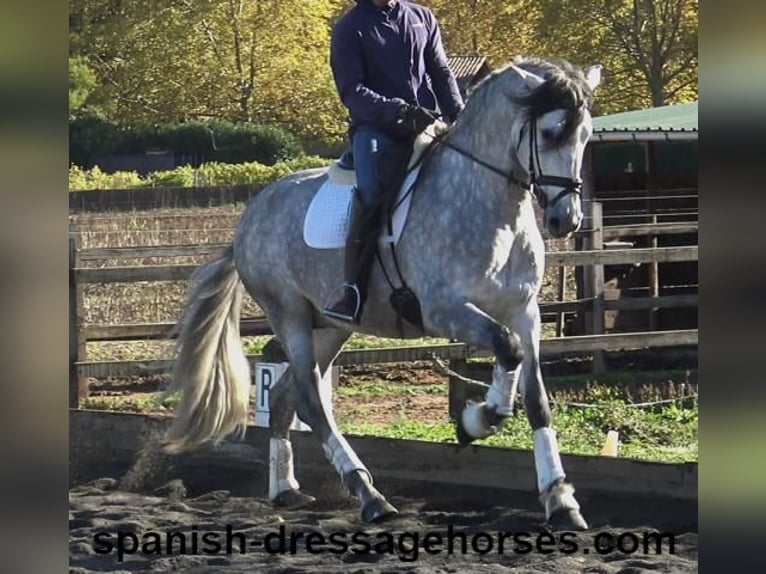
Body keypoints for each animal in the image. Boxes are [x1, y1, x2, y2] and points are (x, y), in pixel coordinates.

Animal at [165, 57, 604, 532]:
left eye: (586, 135)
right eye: (550, 133)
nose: (566, 220)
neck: (490, 206)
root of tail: (250, 216)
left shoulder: (524, 312)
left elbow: (536, 396)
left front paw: (561, 501)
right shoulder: (444, 309)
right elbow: (507, 350)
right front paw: (477, 420)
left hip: (331, 327)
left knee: (285, 398)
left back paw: (286, 490)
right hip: (290, 316)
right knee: (311, 402)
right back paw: (370, 496)